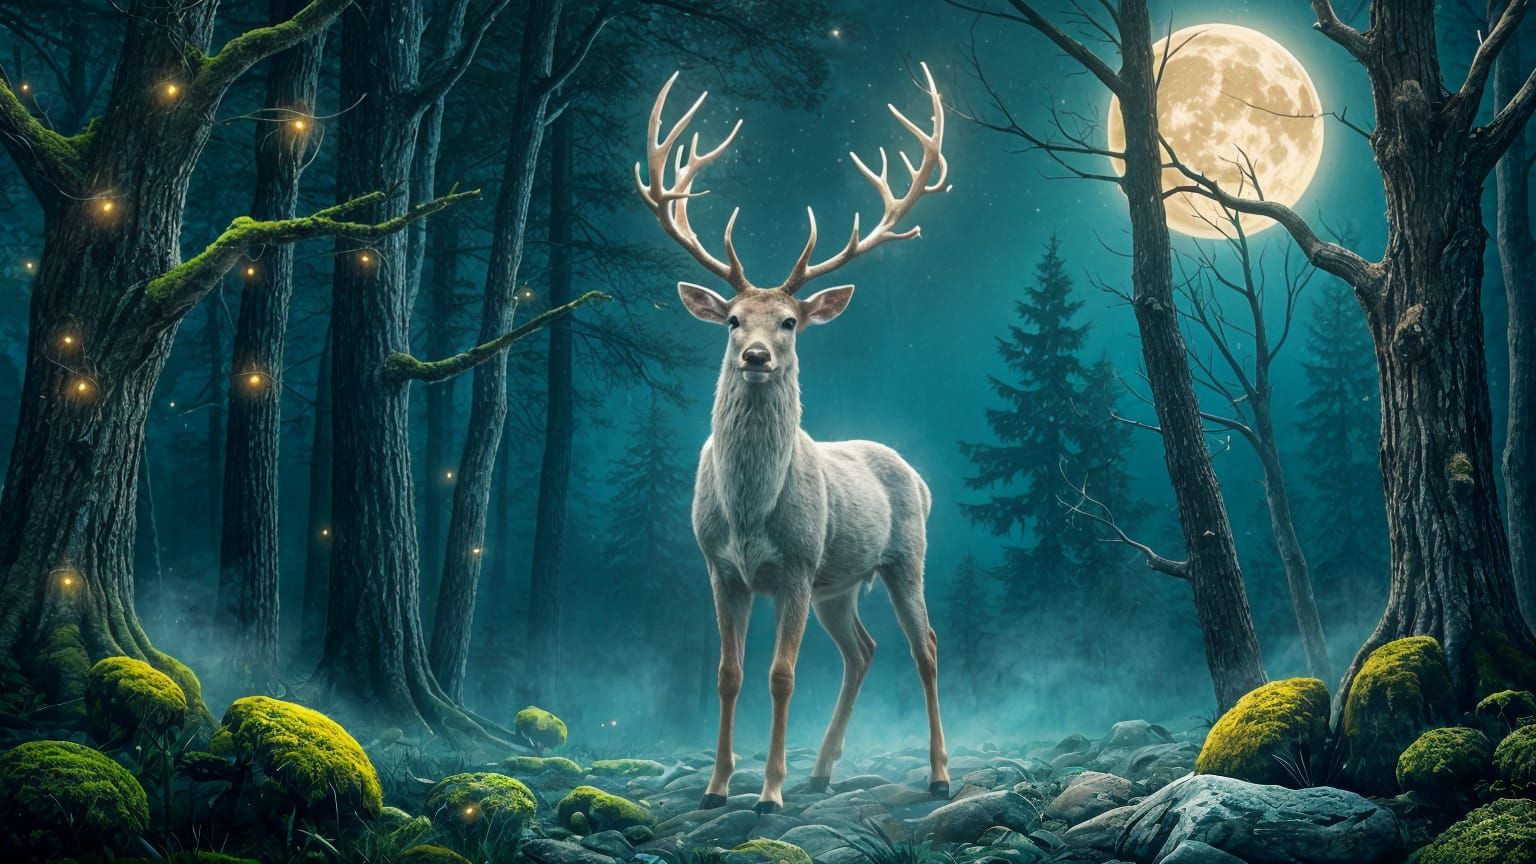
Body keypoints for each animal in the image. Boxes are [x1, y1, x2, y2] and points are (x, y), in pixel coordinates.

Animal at [635, 63, 952, 814]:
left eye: (789, 322)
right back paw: (824, 770)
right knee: (863, 650)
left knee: (925, 646)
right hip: (842, 584)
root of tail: (919, 477)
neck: (749, 513)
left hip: (904, 555)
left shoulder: (799, 567)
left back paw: (937, 773)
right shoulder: (720, 567)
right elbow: (727, 673)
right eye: (731, 320)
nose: (755, 356)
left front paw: (769, 792)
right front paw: (718, 787)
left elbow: (781, 675)